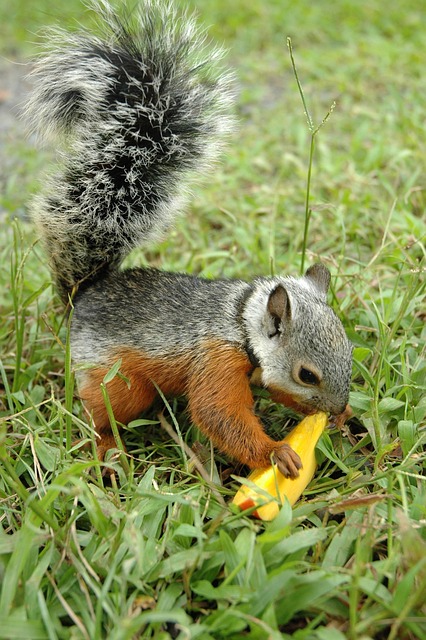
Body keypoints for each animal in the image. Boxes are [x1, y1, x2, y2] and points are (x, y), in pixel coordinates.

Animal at [26, 0, 353, 479]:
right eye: (306, 374)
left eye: (350, 351)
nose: (337, 409)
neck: (241, 320)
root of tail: (83, 294)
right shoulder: (215, 358)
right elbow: (217, 413)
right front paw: (276, 453)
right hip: (116, 379)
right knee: (100, 414)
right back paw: (108, 449)